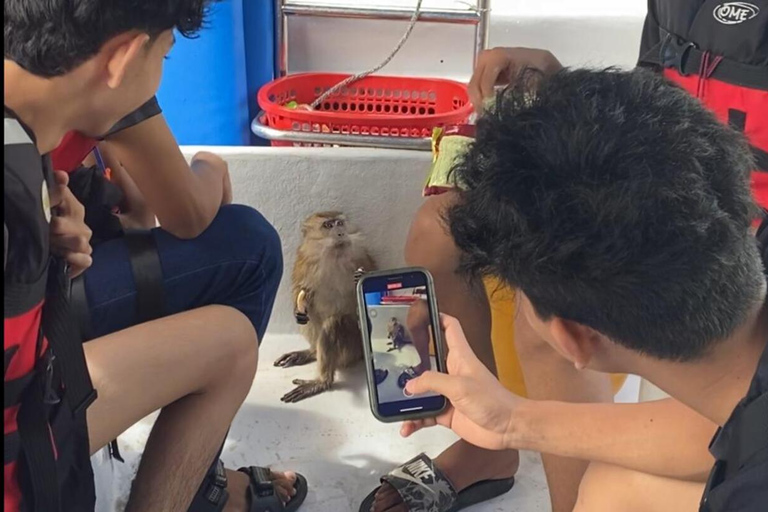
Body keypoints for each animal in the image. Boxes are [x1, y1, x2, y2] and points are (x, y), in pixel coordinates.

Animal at [274, 210, 376, 402]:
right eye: (328, 225)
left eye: (339, 223)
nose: (340, 233)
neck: (333, 254)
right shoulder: (304, 259)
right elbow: (301, 290)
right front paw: (298, 309)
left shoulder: (361, 254)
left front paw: (361, 278)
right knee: (311, 318)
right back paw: (312, 352)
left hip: (354, 346)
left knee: (335, 322)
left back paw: (322, 381)